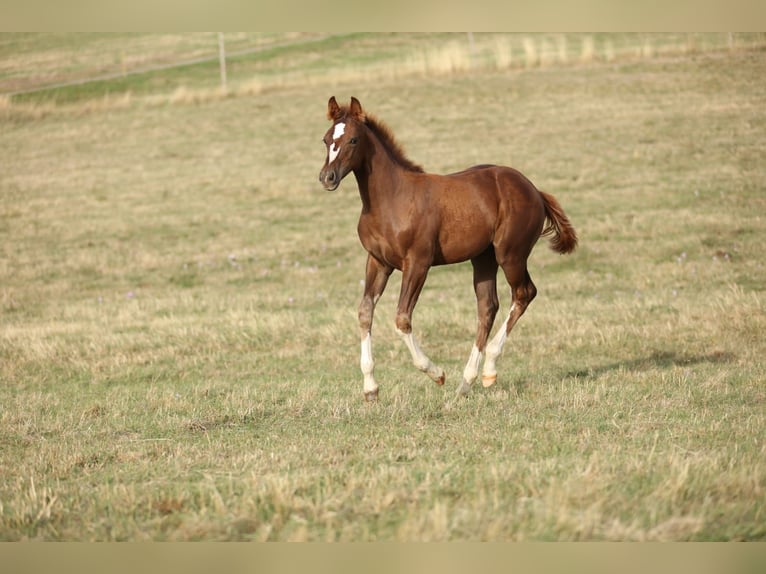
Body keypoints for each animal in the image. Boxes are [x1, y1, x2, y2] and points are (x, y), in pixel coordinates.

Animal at [318, 96, 577, 401]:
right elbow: (364, 312)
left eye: (353, 140)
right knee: (487, 307)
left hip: (510, 254)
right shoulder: (377, 262)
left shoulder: (418, 262)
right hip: (483, 258)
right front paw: (370, 387)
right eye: (326, 140)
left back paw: (489, 369)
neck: (391, 200)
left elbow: (402, 318)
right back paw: (466, 382)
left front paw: (436, 373)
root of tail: (535, 190)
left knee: (524, 293)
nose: (327, 177)